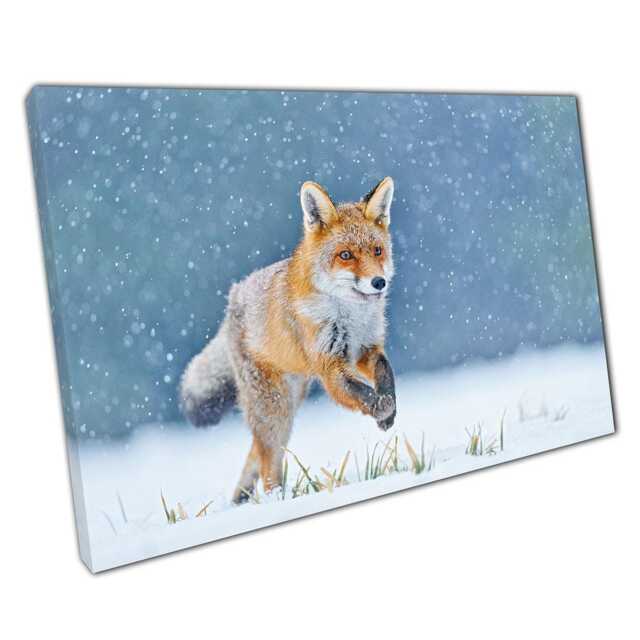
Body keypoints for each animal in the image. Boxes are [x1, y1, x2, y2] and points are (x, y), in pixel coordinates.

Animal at [180, 177, 397, 503]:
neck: (349, 316)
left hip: (289, 403)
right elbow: (358, 392)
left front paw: (389, 408)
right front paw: (380, 408)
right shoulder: (329, 366)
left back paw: (244, 501)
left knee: (257, 453)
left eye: (377, 250)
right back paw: (276, 501)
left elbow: (386, 374)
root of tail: (233, 298)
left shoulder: (366, 348)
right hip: (274, 409)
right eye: (346, 255)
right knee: (268, 463)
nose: (379, 282)